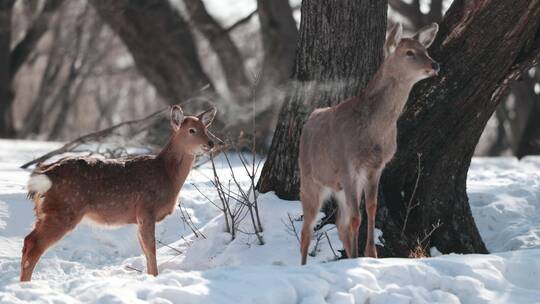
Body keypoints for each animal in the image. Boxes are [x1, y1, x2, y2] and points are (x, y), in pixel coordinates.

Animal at [22, 105, 217, 282]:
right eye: (191, 130)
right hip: (64, 210)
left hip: (46, 211)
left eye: (206, 128)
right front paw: (154, 278)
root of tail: (46, 174)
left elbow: (145, 250)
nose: (211, 143)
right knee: (34, 245)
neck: (166, 174)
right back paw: (26, 285)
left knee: (27, 241)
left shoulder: (138, 217)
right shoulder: (146, 209)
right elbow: (151, 249)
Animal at [298, 22, 440, 264]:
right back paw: (304, 265)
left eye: (425, 50)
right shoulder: (347, 166)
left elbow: (371, 208)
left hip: (337, 186)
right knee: (307, 229)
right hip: (310, 180)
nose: (435, 64)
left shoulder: (376, 167)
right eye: (409, 52)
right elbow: (357, 217)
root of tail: (307, 124)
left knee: (339, 222)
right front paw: (358, 256)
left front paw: (370, 254)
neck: (374, 133)